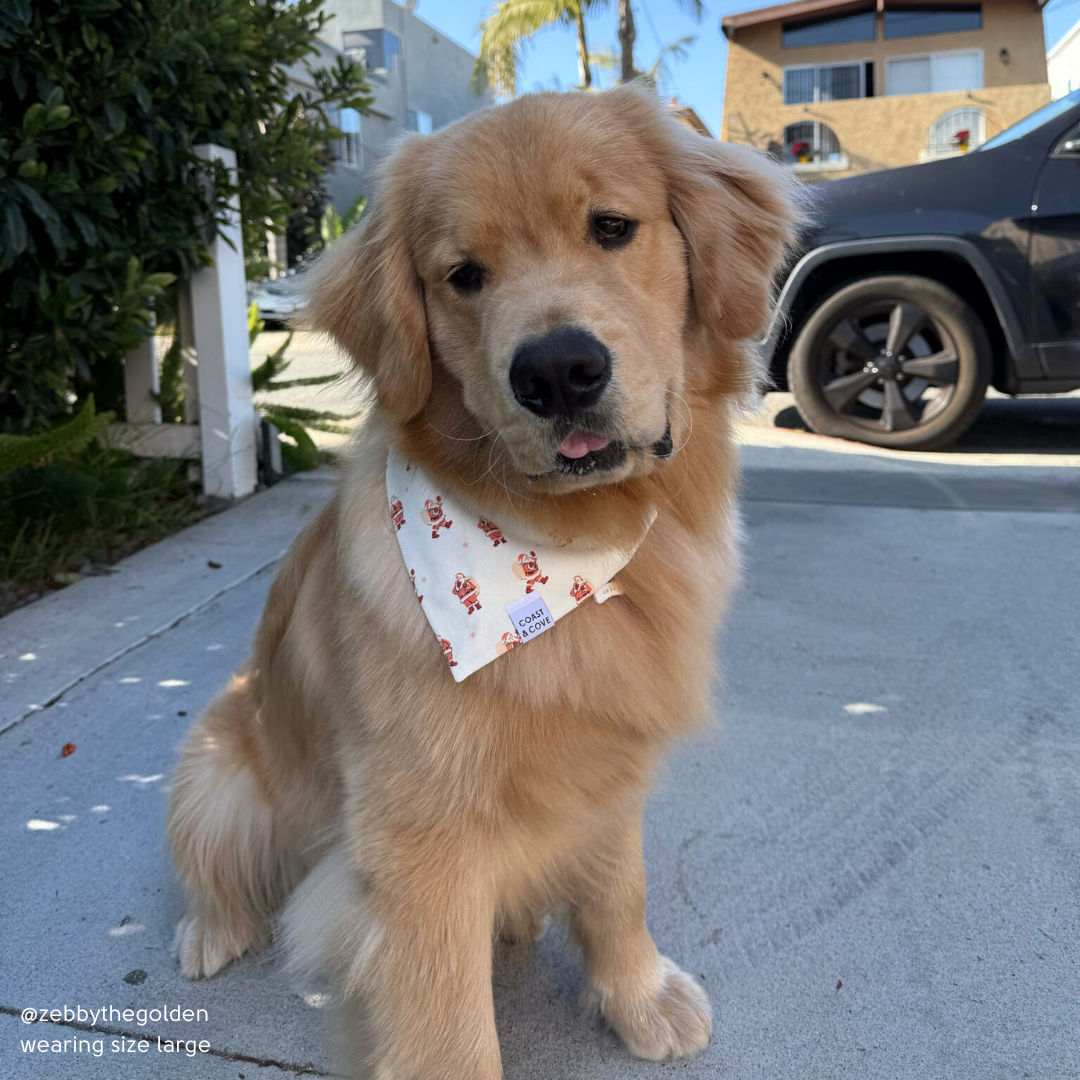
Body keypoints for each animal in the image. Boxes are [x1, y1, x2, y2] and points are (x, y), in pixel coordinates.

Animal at [164, 86, 799, 1080]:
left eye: (612, 227)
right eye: (463, 275)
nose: (558, 371)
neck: (562, 557)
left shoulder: (607, 764)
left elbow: (619, 890)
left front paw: (636, 995)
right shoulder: (419, 843)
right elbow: (447, 1029)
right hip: (214, 773)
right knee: (218, 871)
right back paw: (209, 931)